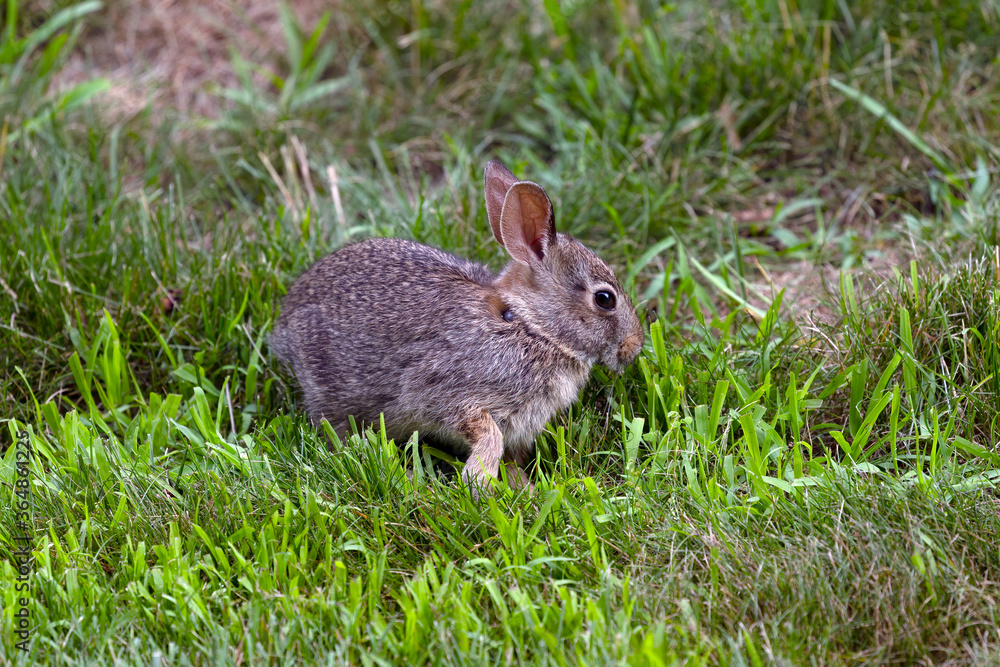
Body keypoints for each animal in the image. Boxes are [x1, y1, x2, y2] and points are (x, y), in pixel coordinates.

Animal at [269, 160, 645, 496]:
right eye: (605, 299)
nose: (634, 346)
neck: (531, 325)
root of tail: (285, 322)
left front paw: (525, 490)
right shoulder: (445, 393)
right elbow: (488, 434)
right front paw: (477, 481)